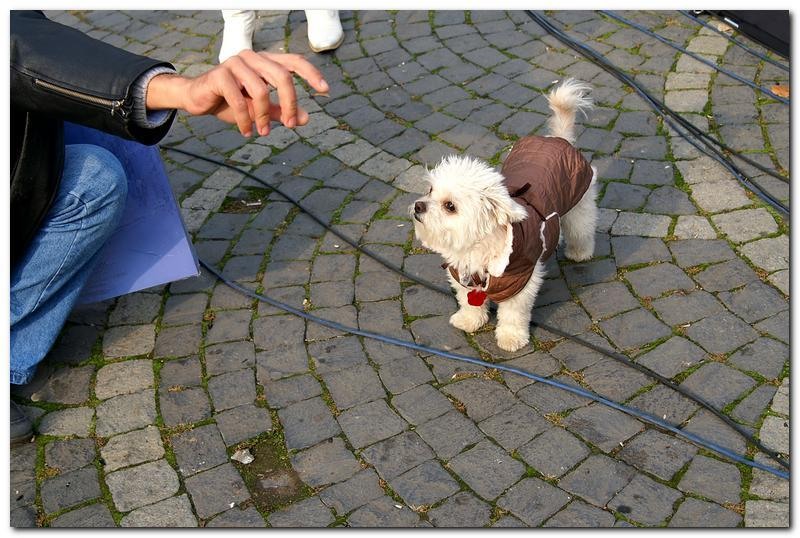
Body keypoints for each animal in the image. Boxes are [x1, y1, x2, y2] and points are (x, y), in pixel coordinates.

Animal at [410, 78, 598, 352]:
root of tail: (558, 138)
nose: (418, 206)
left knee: (582, 229)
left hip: (579, 206)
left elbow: (513, 314)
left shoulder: (521, 282)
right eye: (430, 191)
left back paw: (580, 252)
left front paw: (511, 337)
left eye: (450, 206)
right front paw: (470, 319)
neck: (477, 248)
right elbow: (467, 300)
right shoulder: (462, 275)